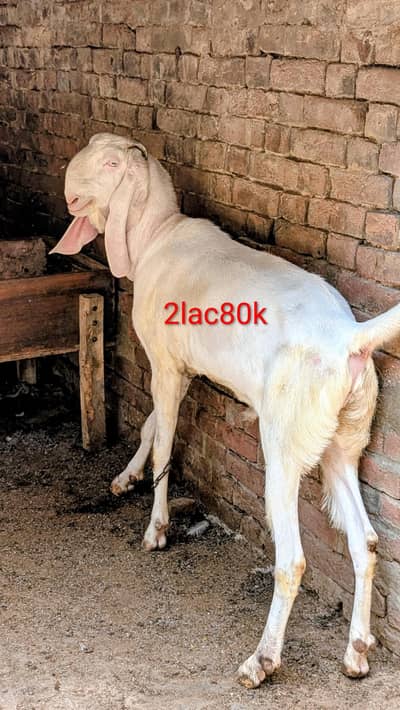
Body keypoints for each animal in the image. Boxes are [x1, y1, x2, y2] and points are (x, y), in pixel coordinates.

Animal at [51, 132, 400, 688]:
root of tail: (350, 338)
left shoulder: (165, 363)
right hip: (342, 441)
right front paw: (125, 477)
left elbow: (165, 442)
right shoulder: (182, 366)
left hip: (284, 440)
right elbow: (150, 426)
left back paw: (261, 660)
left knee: (293, 560)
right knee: (364, 542)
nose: (69, 196)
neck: (156, 235)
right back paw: (356, 653)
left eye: (108, 164)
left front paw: (156, 529)